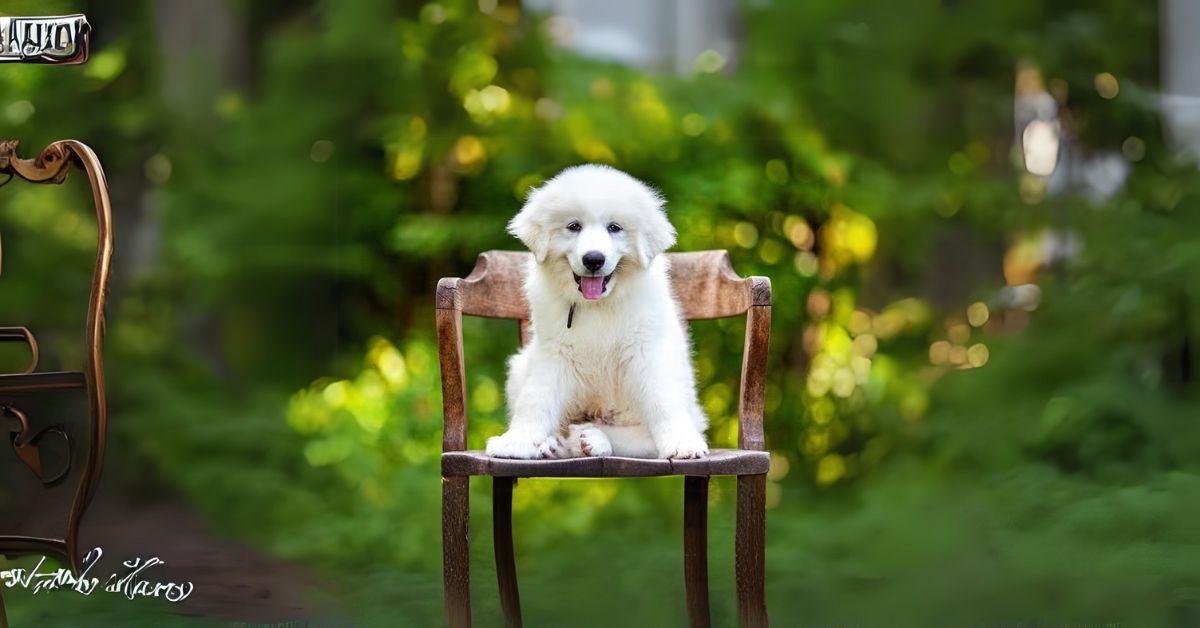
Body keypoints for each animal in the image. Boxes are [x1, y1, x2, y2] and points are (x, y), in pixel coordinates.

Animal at [487, 165, 705, 461]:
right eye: (573, 227)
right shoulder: (553, 352)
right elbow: (535, 400)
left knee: (641, 438)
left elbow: (663, 400)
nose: (593, 259)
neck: (596, 305)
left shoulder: (647, 349)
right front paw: (517, 442)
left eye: (614, 228)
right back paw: (556, 444)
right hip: (520, 367)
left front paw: (683, 443)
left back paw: (590, 438)